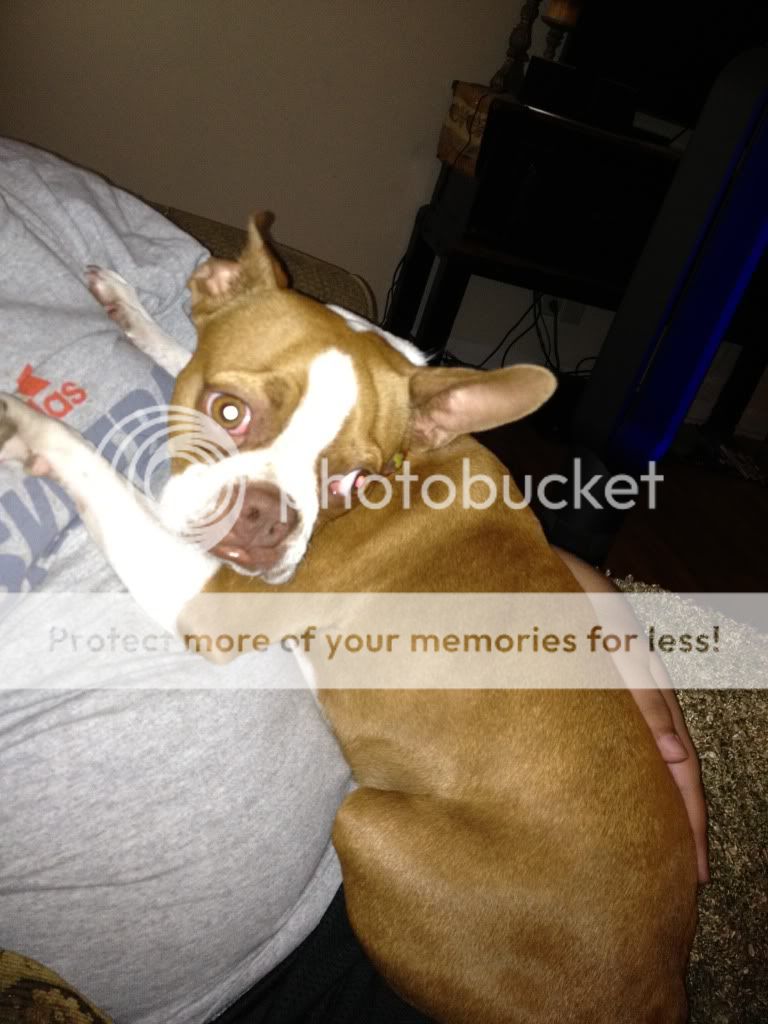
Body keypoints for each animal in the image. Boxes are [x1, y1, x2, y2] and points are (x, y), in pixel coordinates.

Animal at [0, 214, 697, 1023]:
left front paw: (33, 429)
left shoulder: (211, 601)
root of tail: (661, 991)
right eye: (227, 410)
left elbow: (98, 473)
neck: (414, 465)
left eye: (352, 480)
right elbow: (180, 349)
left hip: (365, 822)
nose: (265, 517)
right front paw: (135, 316)